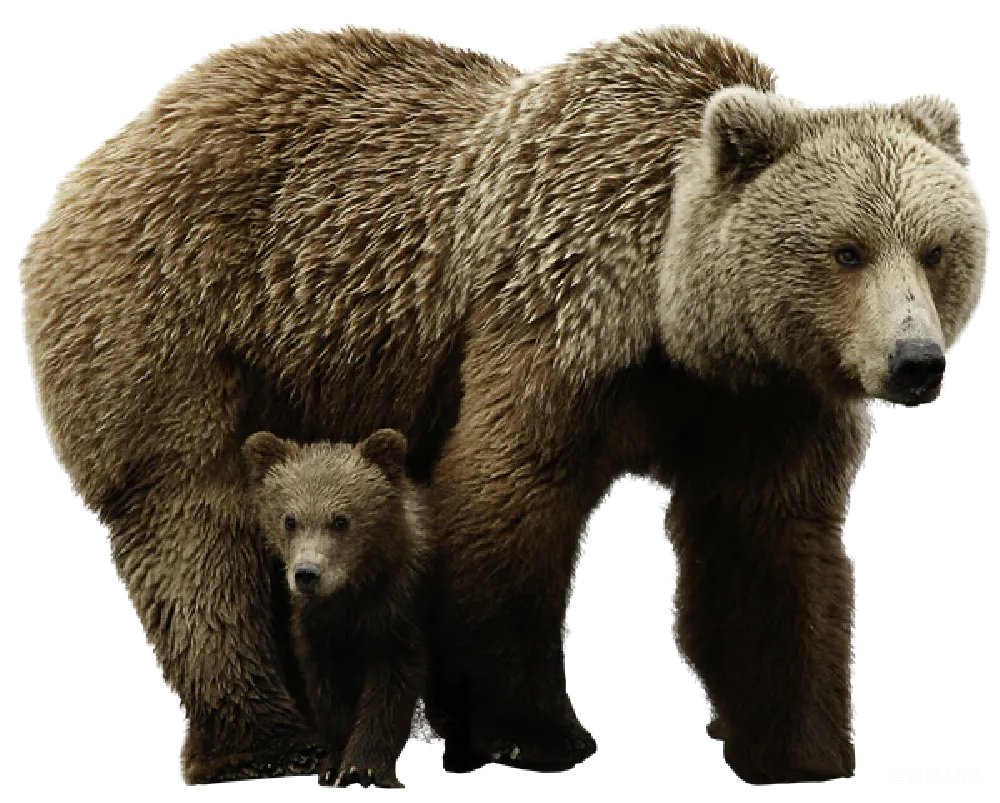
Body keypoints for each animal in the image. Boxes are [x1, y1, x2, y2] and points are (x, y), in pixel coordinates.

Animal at [242, 428, 431, 791]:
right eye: (290, 519)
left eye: (341, 520)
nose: (307, 573)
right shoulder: (316, 630)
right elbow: (326, 690)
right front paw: (334, 762)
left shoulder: (397, 614)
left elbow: (391, 691)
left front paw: (364, 767)